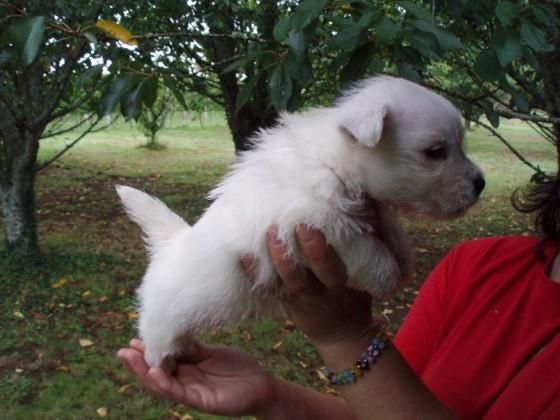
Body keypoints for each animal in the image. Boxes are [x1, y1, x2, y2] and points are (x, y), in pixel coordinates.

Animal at [116, 76, 484, 368]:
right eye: (435, 152)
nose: (481, 183)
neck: (332, 162)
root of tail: (172, 242)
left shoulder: (365, 208)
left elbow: (388, 230)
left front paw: (403, 257)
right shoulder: (312, 221)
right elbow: (364, 246)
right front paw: (387, 275)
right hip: (161, 318)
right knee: (155, 336)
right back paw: (159, 364)